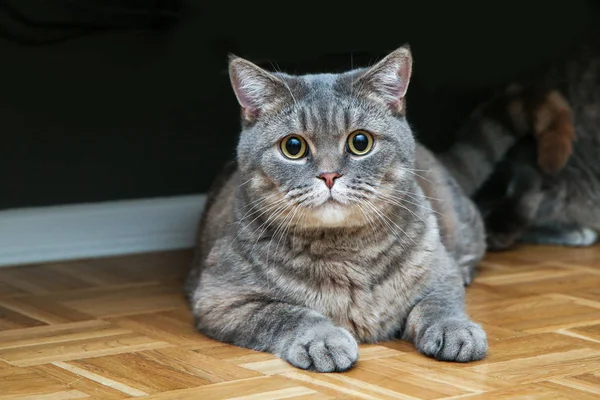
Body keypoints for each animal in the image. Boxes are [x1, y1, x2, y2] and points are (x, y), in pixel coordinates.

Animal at [186, 46, 488, 372]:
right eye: (293, 147)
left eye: (360, 142)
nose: (329, 175)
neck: (348, 254)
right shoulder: (221, 299)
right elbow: (288, 315)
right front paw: (323, 339)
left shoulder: (441, 273)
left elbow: (439, 304)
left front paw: (456, 329)